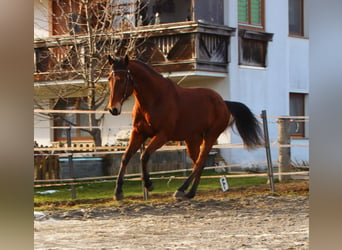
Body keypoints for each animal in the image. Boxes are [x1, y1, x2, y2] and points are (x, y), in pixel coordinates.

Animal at [108, 55, 264, 200]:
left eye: (122, 79)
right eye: (109, 79)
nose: (113, 109)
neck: (154, 99)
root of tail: (223, 103)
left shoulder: (163, 135)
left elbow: (144, 156)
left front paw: (149, 184)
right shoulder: (139, 133)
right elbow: (126, 157)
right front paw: (118, 192)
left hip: (210, 136)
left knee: (200, 163)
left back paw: (181, 190)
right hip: (192, 140)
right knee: (199, 164)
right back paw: (190, 193)